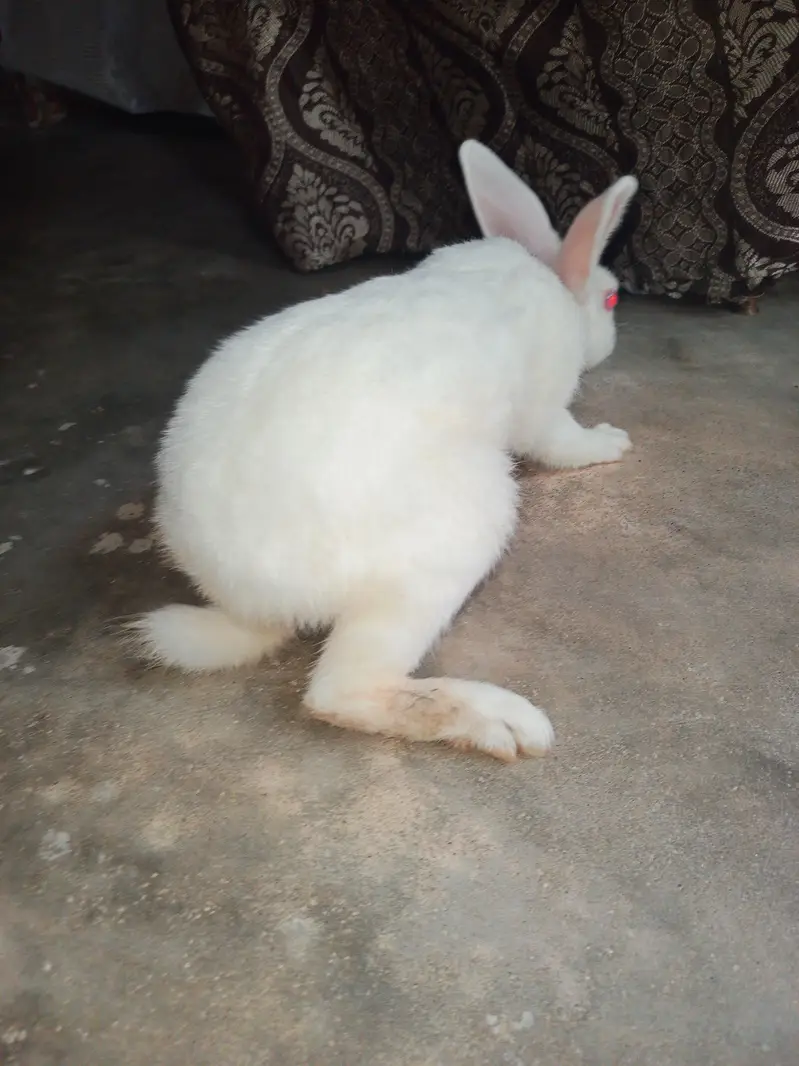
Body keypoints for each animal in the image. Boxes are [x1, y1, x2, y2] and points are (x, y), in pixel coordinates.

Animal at [127, 139, 638, 762]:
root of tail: (246, 595)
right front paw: (610, 442)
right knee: (343, 690)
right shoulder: (543, 409)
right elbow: (562, 442)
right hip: (457, 532)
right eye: (610, 296)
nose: (611, 336)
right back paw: (501, 723)